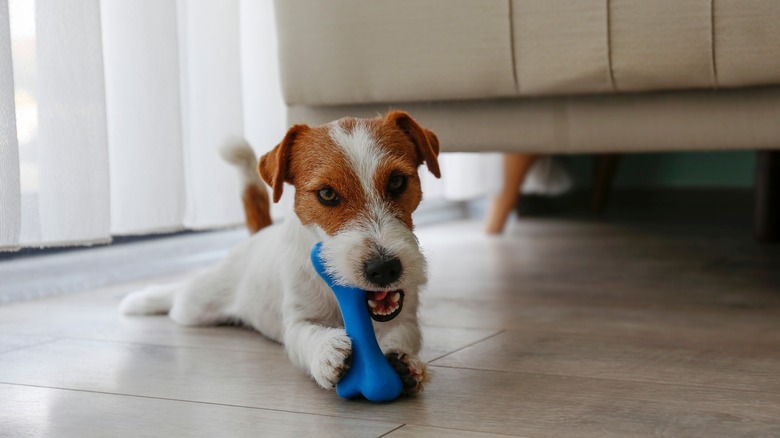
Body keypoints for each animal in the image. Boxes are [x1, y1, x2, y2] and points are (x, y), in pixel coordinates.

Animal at [119, 109, 442, 394]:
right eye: (327, 194)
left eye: (397, 181)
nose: (384, 269)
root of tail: (257, 235)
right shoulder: (297, 320)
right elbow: (306, 334)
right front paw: (326, 350)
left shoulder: (405, 318)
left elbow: (403, 334)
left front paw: (402, 361)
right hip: (197, 305)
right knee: (178, 295)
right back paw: (141, 300)